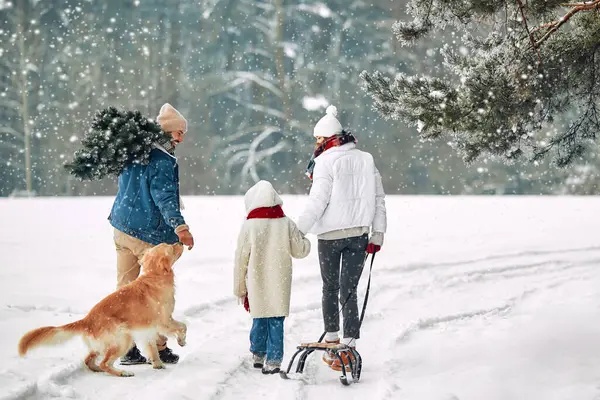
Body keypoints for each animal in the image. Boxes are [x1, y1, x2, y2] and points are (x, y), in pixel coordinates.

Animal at [17, 242, 186, 376]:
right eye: (171, 247)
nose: (180, 242)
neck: (154, 276)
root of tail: (86, 320)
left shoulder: (148, 329)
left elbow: (153, 348)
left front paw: (158, 364)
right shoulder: (164, 321)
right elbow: (183, 326)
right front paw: (181, 341)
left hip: (102, 345)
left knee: (90, 360)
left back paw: (98, 369)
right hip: (123, 338)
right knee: (105, 363)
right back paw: (122, 372)